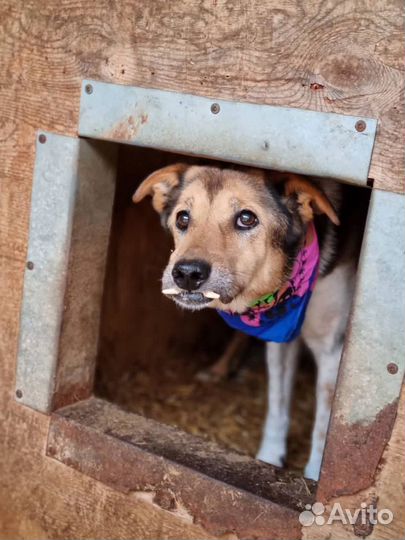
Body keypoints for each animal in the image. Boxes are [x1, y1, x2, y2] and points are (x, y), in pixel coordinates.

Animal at [133, 162, 366, 478]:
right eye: (183, 218)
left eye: (246, 218)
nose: (186, 273)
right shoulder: (279, 340)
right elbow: (277, 404)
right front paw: (269, 458)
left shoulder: (331, 349)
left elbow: (324, 424)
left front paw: (315, 474)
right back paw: (218, 369)